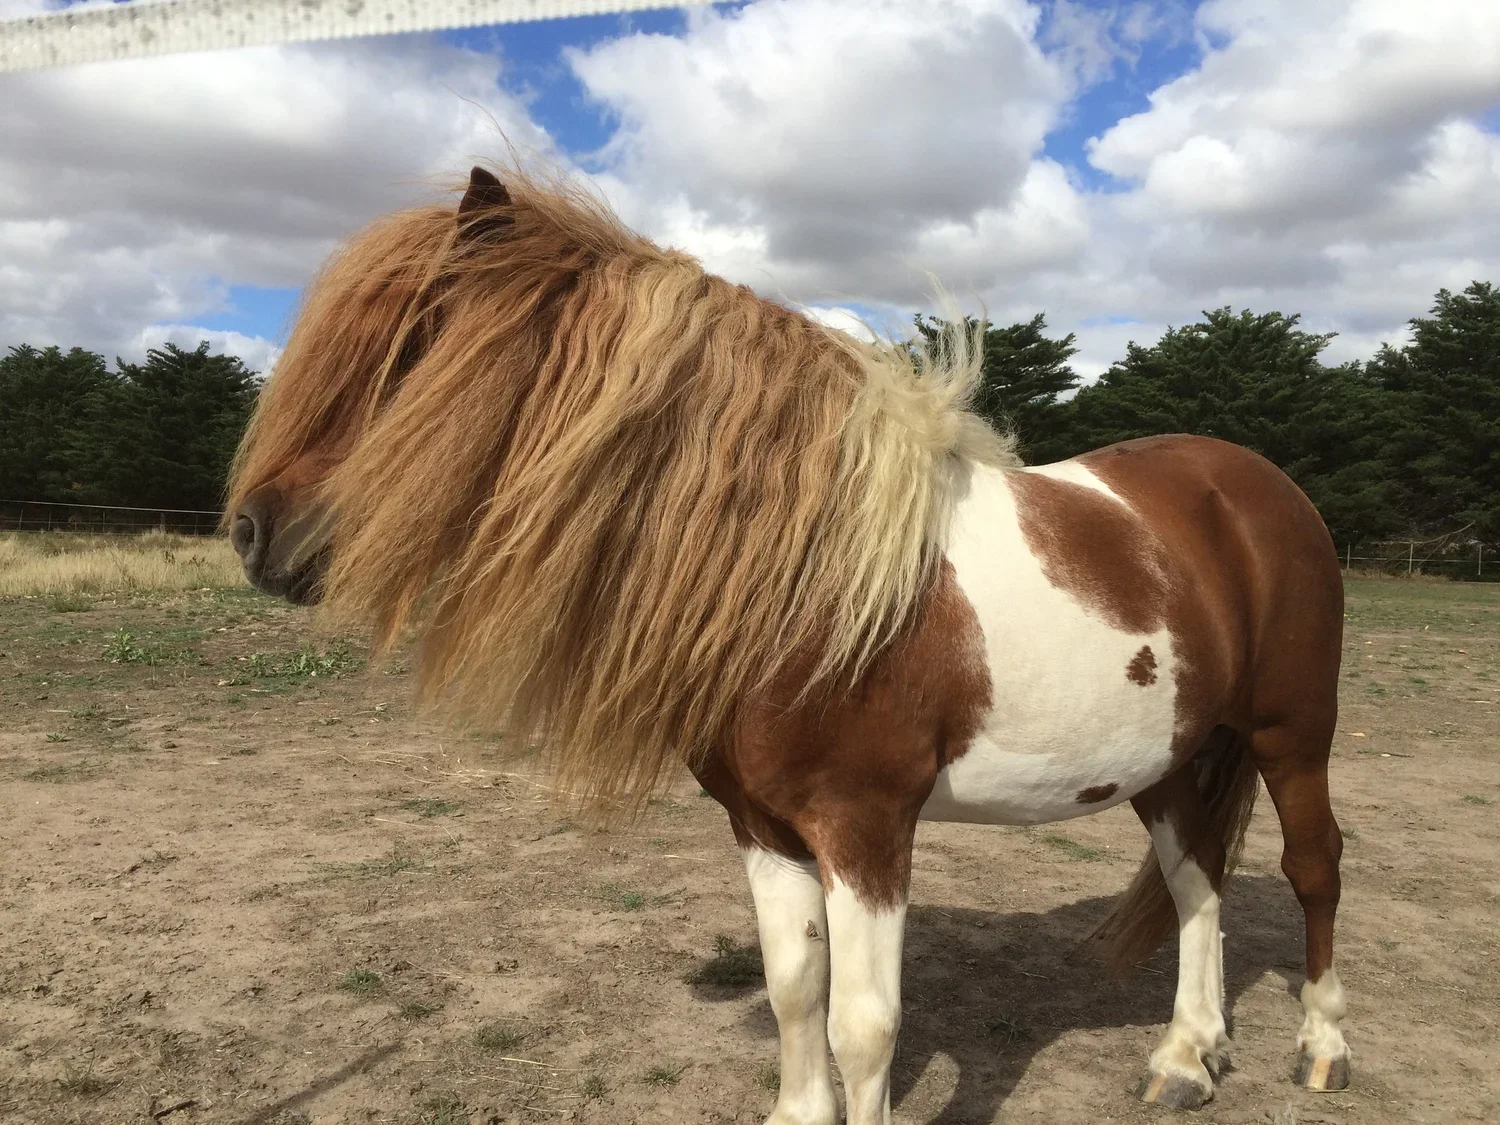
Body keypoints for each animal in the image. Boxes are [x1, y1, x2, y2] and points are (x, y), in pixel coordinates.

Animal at [225, 165, 1350, 1123]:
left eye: (414, 344)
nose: (250, 532)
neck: (808, 576)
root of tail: (1259, 485)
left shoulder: (866, 828)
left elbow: (865, 1024)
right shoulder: (762, 824)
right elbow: (794, 988)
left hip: (1291, 736)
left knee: (1312, 867)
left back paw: (1323, 1047)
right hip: (1170, 754)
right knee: (1196, 880)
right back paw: (1185, 1056)